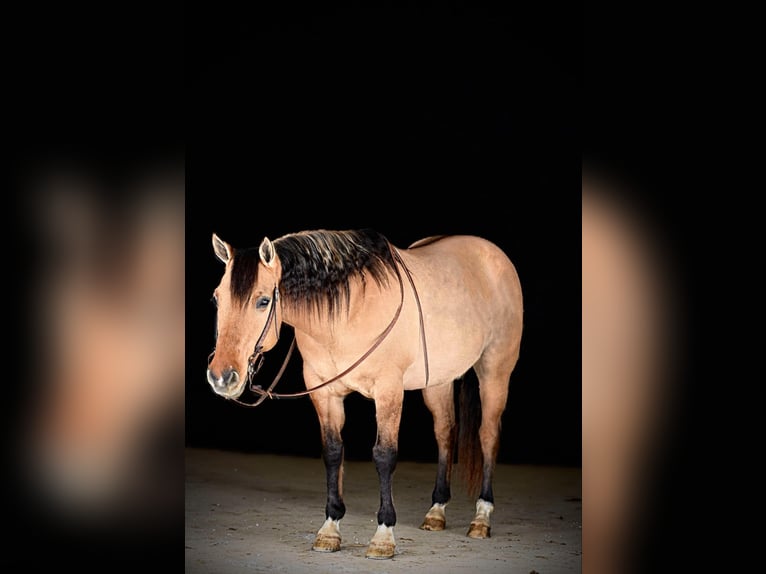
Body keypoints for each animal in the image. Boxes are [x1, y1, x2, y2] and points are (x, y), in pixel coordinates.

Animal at [207, 231, 524, 564]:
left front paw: (383, 536)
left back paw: (481, 517)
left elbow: (384, 456)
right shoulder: (324, 393)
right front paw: (329, 529)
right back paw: (436, 511)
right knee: (445, 433)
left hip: (494, 372)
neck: (348, 313)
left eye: (263, 300)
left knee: (488, 435)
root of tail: (493, 254)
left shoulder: (388, 391)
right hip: (437, 381)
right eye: (217, 298)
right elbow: (333, 453)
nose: (221, 376)